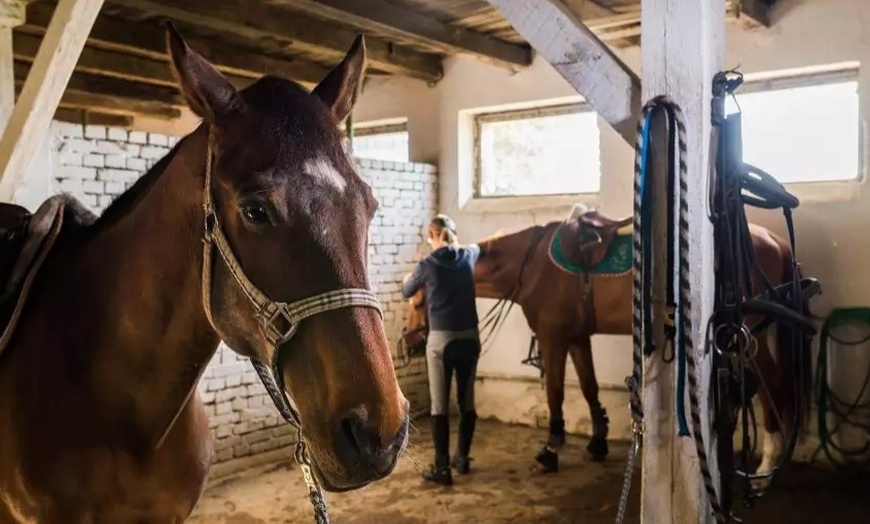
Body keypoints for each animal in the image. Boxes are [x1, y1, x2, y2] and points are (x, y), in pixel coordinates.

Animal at [403, 208, 810, 482]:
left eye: (418, 300)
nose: (409, 344)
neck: (531, 265)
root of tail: (775, 241)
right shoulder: (577, 337)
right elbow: (588, 387)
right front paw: (597, 442)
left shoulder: (552, 338)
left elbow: (555, 392)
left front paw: (550, 450)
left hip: (749, 334)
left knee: (772, 385)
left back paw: (768, 463)